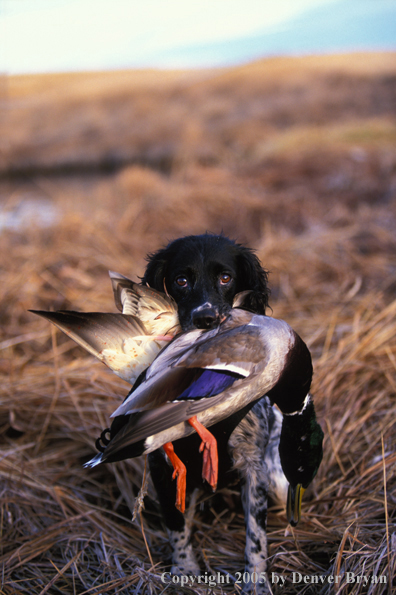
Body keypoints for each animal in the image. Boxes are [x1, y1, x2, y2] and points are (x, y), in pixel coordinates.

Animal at [142, 234, 288, 592]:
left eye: (225, 277)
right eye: (181, 280)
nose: (205, 319)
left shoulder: (254, 468)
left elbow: (256, 538)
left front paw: (256, 584)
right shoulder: (162, 466)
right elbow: (176, 525)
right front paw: (185, 571)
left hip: (278, 483)